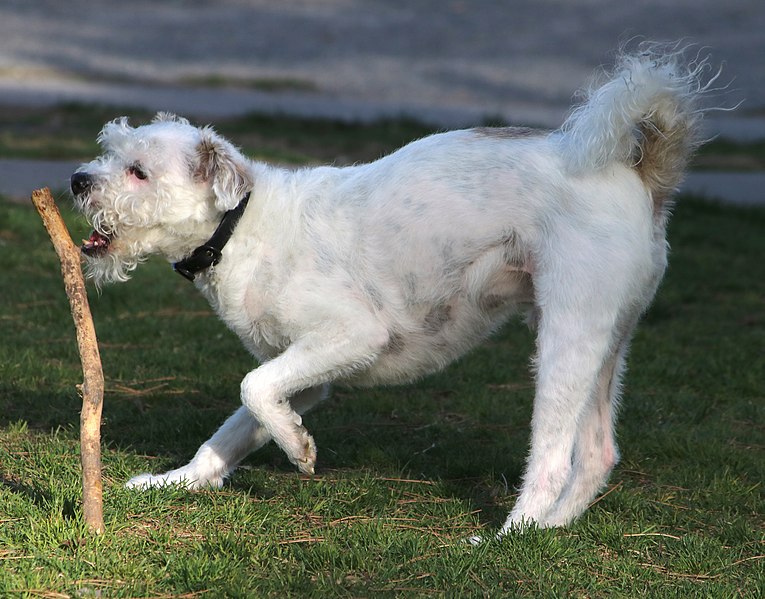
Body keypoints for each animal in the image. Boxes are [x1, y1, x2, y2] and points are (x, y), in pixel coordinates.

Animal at [70, 47, 716, 536]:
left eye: (139, 171)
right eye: (110, 152)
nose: (77, 180)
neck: (242, 224)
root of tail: (640, 174)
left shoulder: (352, 334)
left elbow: (252, 387)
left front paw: (299, 451)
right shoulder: (303, 372)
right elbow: (238, 424)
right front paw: (177, 480)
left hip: (567, 338)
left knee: (554, 458)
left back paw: (509, 537)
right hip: (605, 341)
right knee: (598, 453)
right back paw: (550, 530)